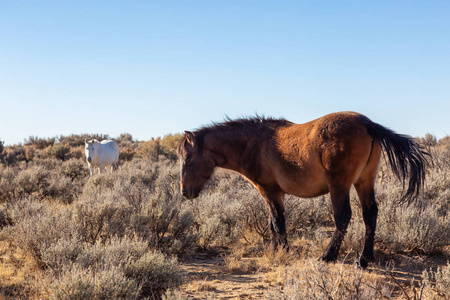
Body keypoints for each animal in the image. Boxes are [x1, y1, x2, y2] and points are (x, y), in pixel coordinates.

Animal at [177, 110, 428, 268]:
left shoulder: (270, 191)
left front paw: (284, 252)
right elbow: (272, 223)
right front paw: (275, 249)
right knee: (370, 215)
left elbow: (278, 222)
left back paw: (328, 257)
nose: (184, 192)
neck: (254, 144)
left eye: (188, 159)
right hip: (364, 182)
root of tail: (367, 124)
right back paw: (364, 260)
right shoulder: (272, 195)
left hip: (339, 186)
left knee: (343, 217)